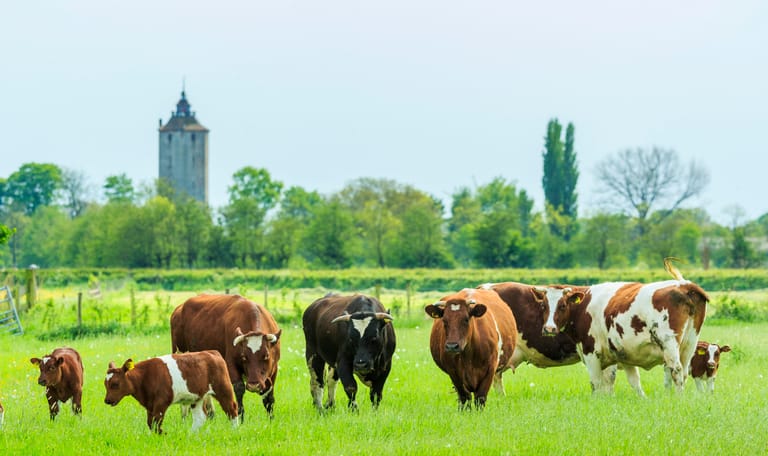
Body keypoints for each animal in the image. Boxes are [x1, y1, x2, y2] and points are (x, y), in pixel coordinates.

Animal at [104, 350, 239, 434]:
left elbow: (156, 422)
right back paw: (191, 435)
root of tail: (212, 352)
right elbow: (150, 423)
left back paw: (235, 431)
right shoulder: (150, 405)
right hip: (197, 397)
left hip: (223, 388)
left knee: (232, 409)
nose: (107, 400)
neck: (145, 377)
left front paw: (163, 434)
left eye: (115, 384)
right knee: (200, 417)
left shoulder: (161, 402)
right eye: (105, 384)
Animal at [552, 261, 708, 395]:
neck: (583, 307)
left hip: (669, 342)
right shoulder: (622, 354)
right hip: (690, 343)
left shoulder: (591, 352)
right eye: (547, 306)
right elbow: (629, 380)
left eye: (562, 306)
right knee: (681, 371)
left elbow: (597, 383)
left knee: (676, 369)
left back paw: (678, 397)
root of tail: (684, 285)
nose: (550, 328)